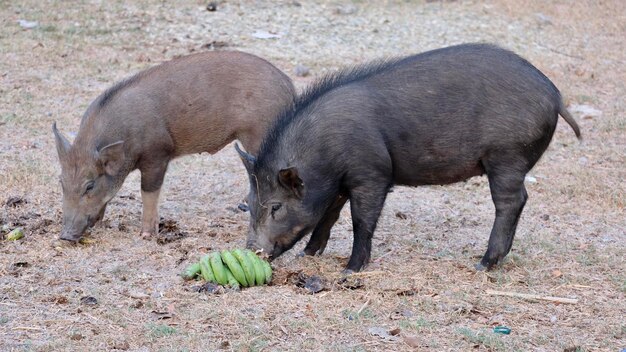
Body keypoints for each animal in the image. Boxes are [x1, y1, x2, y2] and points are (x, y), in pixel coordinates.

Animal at [53, 50, 294, 242]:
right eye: (61, 182)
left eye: (89, 185)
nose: (65, 236)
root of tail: (289, 86)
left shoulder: (158, 153)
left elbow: (148, 192)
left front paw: (146, 235)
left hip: (258, 136)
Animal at [236, 43, 576, 272]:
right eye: (249, 202)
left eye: (276, 207)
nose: (252, 250)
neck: (323, 153)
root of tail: (554, 94)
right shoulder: (339, 185)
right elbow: (327, 217)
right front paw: (308, 255)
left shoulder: (372, 174)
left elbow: (361, 220)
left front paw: (350, 270)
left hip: (507, 155)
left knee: (511, 201)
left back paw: (483, 264)